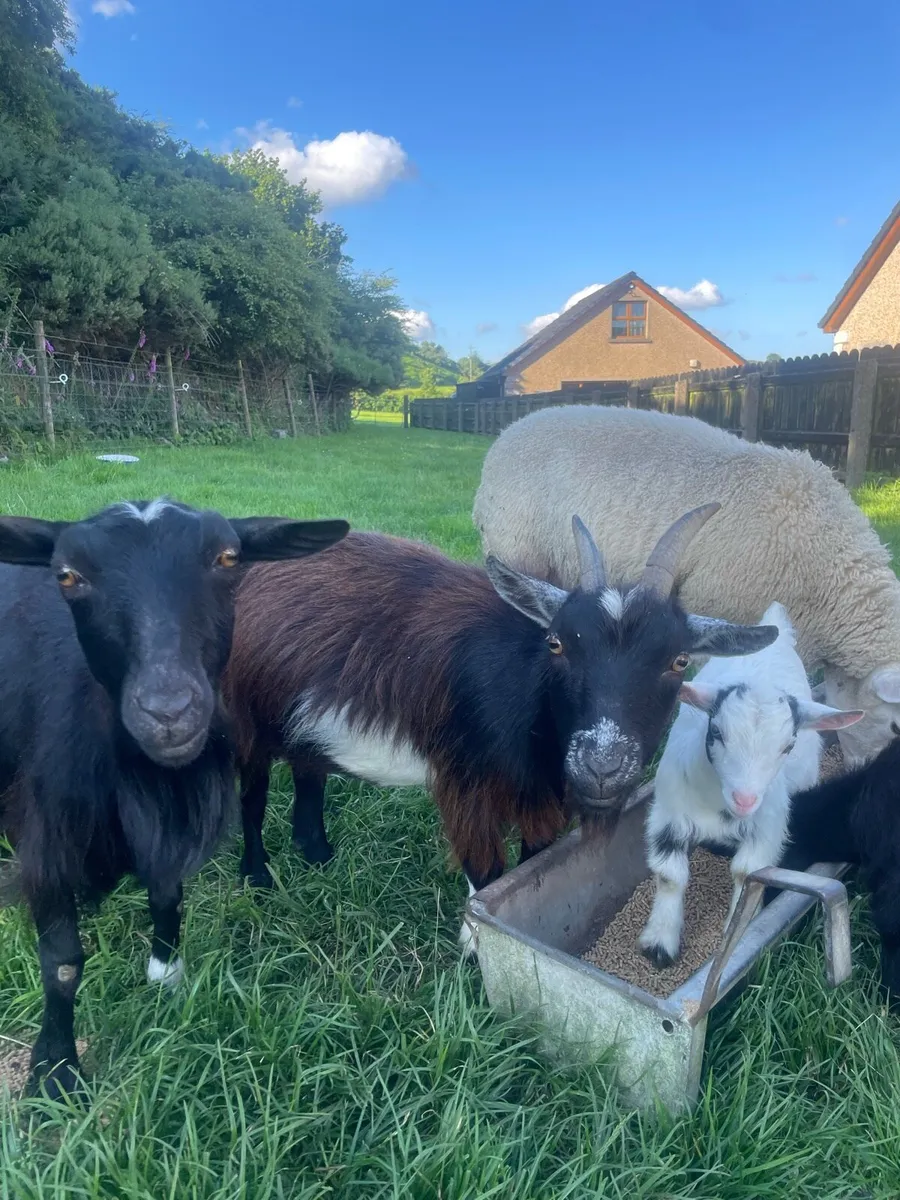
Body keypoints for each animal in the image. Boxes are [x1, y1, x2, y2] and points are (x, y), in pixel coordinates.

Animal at [0, 499, 348, 1101]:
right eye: (66, 575)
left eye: (229, 557)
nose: (169, 711)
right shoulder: (43, 837)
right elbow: (63, 963)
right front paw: (57, 1074)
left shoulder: (166, 820)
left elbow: (168, 898)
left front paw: (166, 978)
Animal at [223, 504, 779, 950]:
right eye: (557, 643)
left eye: (679, 660)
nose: (601, 766)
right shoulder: (468, 783)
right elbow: (486, 871)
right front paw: (473, 949)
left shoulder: (542, 795)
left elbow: (532, 862)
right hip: (242, 716)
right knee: (252, 795)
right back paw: (257, 877)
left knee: (307, 768)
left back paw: (316, 854)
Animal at [639, 602, 863, 968]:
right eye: (716, 731)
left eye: (788, 745)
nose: (744, 800)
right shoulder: (667, 816)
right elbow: (670, 875)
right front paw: (659, 944)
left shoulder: (767, 830)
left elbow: (747, 876)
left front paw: (735, 934)